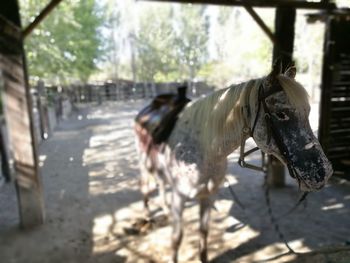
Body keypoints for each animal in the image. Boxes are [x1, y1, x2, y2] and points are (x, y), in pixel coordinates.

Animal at [134, 63, 334, 262]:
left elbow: (203, 232)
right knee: (145, 187)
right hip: (144, 164)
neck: (205, 151)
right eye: (281, 114)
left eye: (308, 112)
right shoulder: (179, 197)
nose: (324, 172)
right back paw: (147, 217)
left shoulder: (208, 195)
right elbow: (177, 238)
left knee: (160, 184)